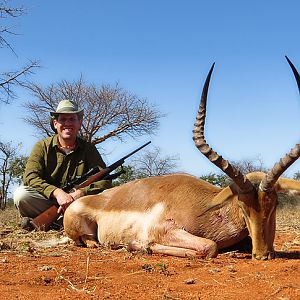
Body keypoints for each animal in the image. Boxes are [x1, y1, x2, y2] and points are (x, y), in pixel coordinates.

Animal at [63, 56, 300, 260]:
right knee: (88, 241)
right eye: (242, 206)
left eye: (275, 204)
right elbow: (209, 246)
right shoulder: (165, 230)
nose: (263, 254)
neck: (206, 208)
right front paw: (138, 245)